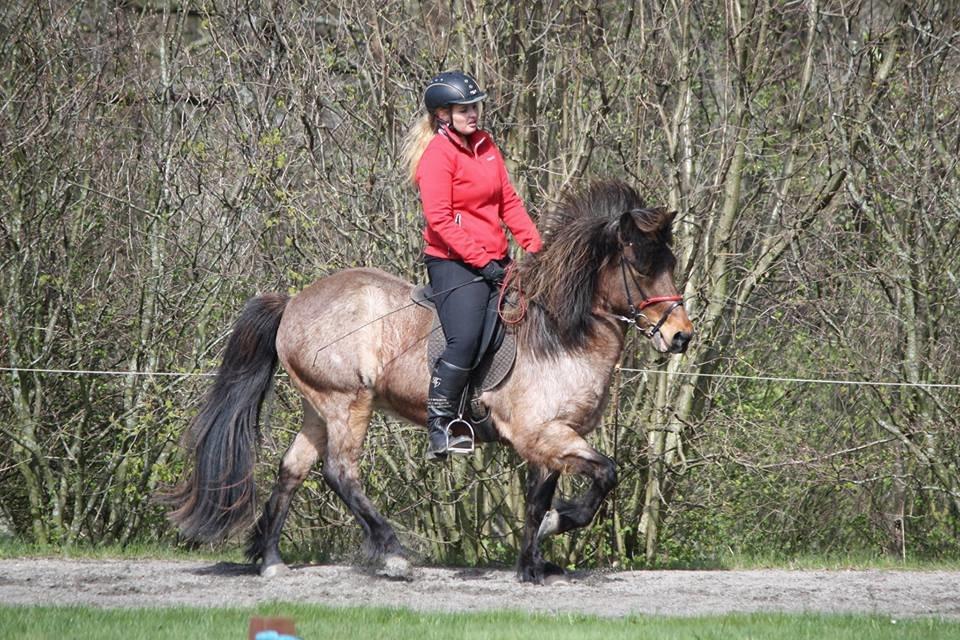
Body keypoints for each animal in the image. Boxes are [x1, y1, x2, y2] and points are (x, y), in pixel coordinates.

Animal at [163, 178, 688, 584]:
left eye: (671, 263)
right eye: (640, 266)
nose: (680, 336)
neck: (560, 333)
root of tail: (293, 302)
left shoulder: (553, 438)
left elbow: (541, 500)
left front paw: (533, 563)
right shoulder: (541, 434)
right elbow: (605, 474)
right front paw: (551, 536)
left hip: (318, 407)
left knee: (292, 469)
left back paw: (271, 561)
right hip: (348, 401)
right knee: (340, 471)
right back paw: (392, 554)